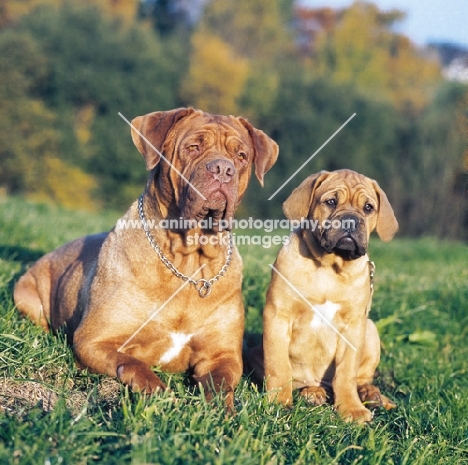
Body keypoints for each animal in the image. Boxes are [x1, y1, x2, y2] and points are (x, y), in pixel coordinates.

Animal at [14, 106, 278, 410]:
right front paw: (159, 394)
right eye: (193, 147)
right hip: (25, 294)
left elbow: (220, 384)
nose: (223, 169)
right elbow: (132, 364)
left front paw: (222, 413)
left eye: (241, 156)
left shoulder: (222, 355)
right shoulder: (94, 340)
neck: (188, 261)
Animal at [252, 169, 398, 420]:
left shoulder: (354, 325)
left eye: (368, 207)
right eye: (330, 202)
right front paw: (279, 402)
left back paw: (372, 395)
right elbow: (279, 366)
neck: (330, 267)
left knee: (360, 378)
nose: (350, 220)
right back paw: (313, 392)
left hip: (370, 329)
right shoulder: (278, 315)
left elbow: (346, 374)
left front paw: (351, 408)